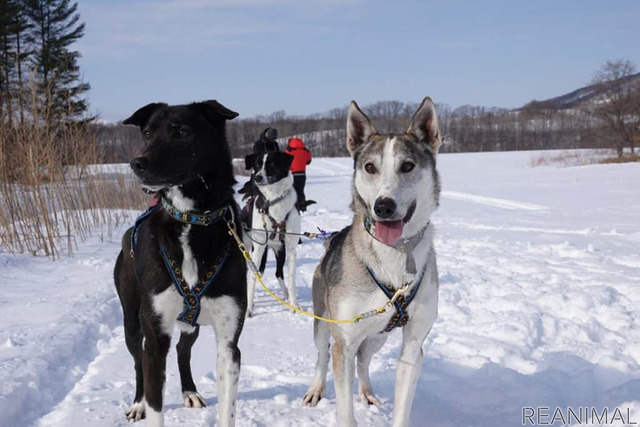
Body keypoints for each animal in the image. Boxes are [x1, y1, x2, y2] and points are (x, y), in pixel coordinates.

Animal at [114, 101, 246, 427]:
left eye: (183, 132)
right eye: (148, 133)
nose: (137, 163)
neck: (191, 220)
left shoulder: (229, 344)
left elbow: (227, 408)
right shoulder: (155, 338)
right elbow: (155, 402)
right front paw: (146, 406)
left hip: (191, 325)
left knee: (183, 350)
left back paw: (190, 391)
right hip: (132, 323)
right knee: (138, 363)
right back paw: (137, 404)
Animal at [241, 153, 302, 318]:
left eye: (272, 164)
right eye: (257, 164)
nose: (257, 177)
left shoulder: (290, 247)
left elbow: (292, 279)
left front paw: (294, 305)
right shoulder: (258, 248)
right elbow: (252, 279)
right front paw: (248, 309)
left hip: (279, 250)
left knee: (278, 273)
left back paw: (286, 295)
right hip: (251, 250)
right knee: (252, 274)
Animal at [300, 98, 440, 427]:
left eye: (407, 165)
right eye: (369, 167)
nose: (383, 206)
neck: (394, 257)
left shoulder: (413, 347)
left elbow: (402, 407)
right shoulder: (344, 341)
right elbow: (345, 410)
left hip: (378, 336)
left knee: (364, 359)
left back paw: (368, 393)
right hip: (323, 323)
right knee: (322, 356)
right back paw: (315, 389)